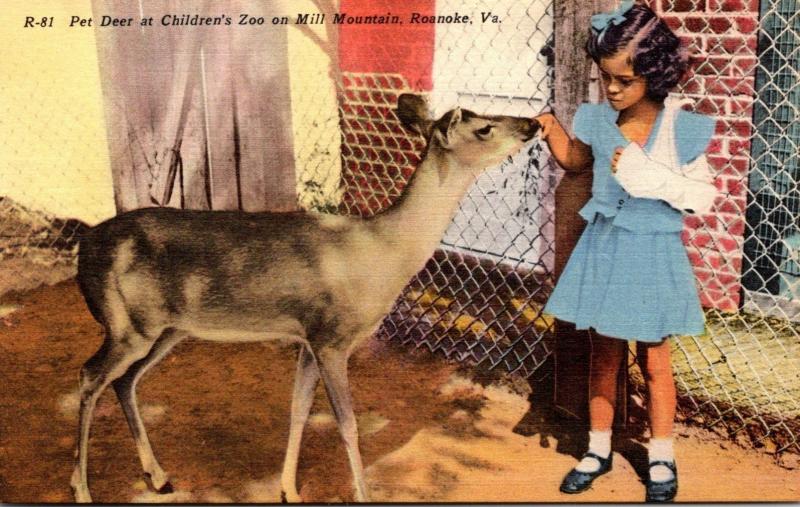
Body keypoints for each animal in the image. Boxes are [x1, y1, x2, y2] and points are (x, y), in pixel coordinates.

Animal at [72, 94, 540, 504]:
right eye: (484, 128)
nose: (532, 124)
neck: (380, 253)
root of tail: (85, 247)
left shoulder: (308, 339)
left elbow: (298, 409)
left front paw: (289, 490)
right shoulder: (332, 337)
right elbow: (347, 424)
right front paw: (362, 495)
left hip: (166, 329)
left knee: (125, 381)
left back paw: (158, 476)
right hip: (129, 324)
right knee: (90, 375)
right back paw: (81, 488)